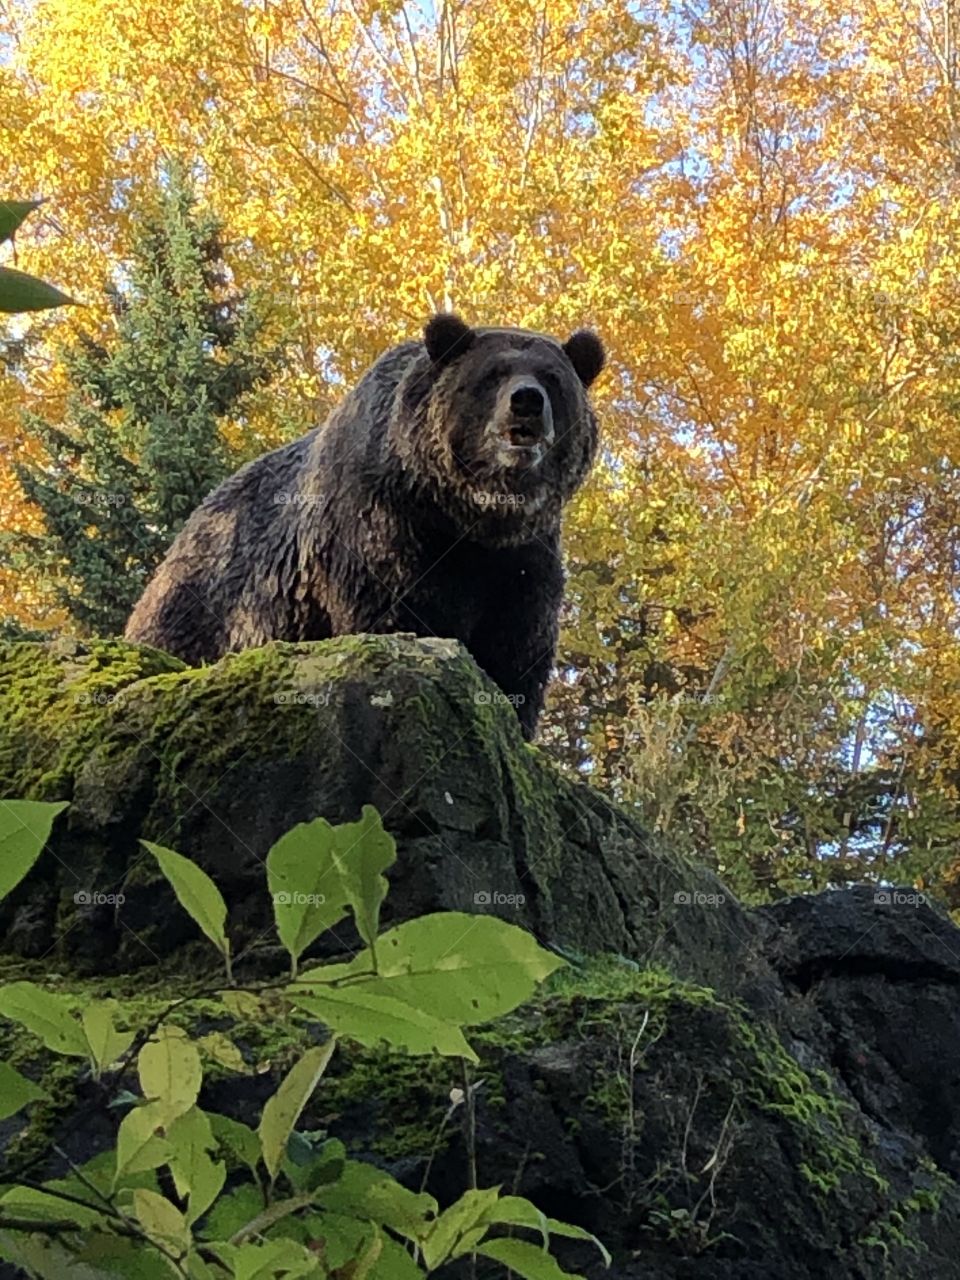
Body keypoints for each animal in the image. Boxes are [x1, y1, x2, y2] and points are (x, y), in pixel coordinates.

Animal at [124, 314, 604, 742]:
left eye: (552, 378)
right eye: (493, 373)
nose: (527, 401)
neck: (467, 515)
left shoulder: (523, 557)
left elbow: (517, 647)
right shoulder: (383, 521)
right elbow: (393, 608)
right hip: (208, 601)